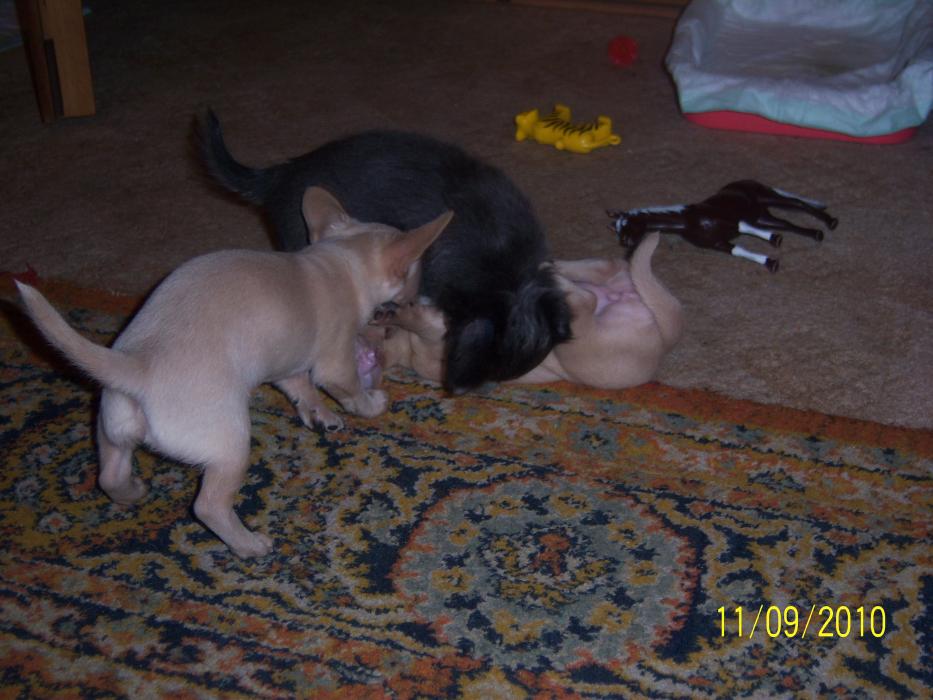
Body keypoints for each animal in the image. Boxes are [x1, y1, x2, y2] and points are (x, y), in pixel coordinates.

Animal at [16, 187, 451, 558]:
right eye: (411, 288)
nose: (417, 303)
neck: (339, 261)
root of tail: (137, 366)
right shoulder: (335, 362)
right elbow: (346, 390)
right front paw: (370, 403)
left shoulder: (286, 363)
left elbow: (301, 389)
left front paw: (320, 415)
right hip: (230, 445)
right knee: (208, 506)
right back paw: (248, 545)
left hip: (111, 428)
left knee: (110, 473)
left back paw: (131, 493)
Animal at [363, 232, 682, 390]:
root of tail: (665, 340)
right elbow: (417, 320)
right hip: (579, 347)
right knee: (588, 298)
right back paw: (552, 276)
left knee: (600, 273)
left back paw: (546, 270)